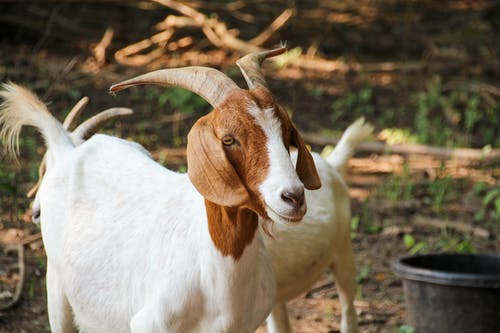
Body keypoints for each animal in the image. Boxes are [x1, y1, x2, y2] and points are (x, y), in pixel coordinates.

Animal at [0, 46, 320, 332]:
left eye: (287, 133)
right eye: (229, 139)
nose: (293, 197)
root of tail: (68, 150)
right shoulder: (149, 324)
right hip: (57, 287)